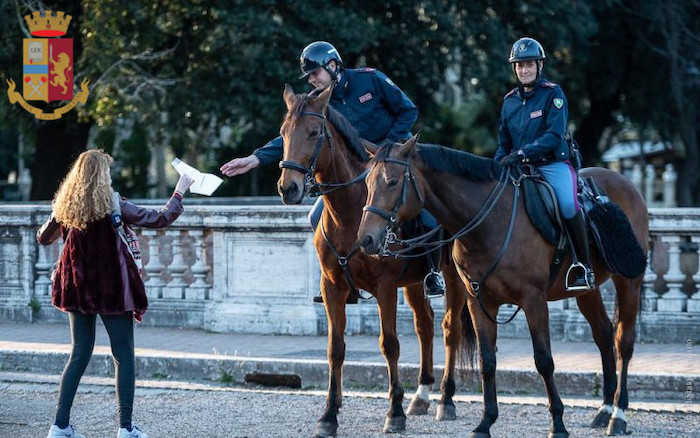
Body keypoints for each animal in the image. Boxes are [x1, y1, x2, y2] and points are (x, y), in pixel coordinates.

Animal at [276, 85, 477, 437]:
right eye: (283, 133)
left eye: (314, 132)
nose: (288, 188)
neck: (350, 213)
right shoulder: (332, 287)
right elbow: (335, 349)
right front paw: (329, 414)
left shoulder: (385, 287)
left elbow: (390, 345)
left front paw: (393, 412)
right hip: (414, 282)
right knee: (424, 325)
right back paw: (421, 395)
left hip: (453, 278)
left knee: (449, 328)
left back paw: (445, 400)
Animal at [357, 136, 649, 438]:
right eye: (367, 183)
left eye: (392, 181)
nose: (366, 239)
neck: (488, 222)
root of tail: (623, 182)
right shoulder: (479, 301)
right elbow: (487, 361)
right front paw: (486, 421)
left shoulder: (534, 301)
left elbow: (544, 360)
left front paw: (557, 423)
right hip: (585, 292)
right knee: (603, 334)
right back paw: (604, 410)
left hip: (629, 282)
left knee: (624, 342)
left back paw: (618, 414)